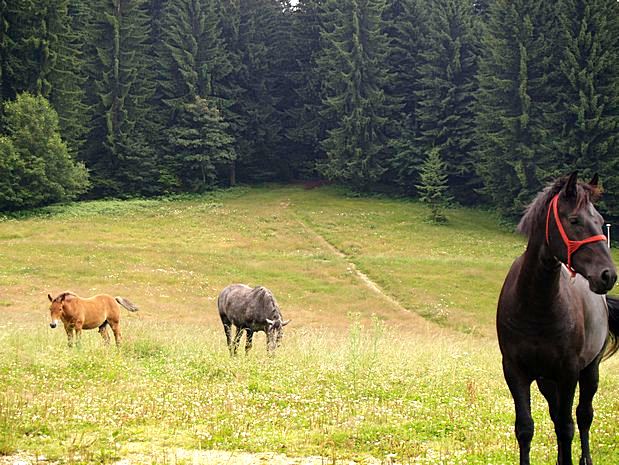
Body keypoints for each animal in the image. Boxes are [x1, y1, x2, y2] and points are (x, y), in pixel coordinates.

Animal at [498, 173, 619, 464]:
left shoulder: (568, 372)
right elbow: (525, 428)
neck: (536, 306)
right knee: (556, 416)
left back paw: (584, 458)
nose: (608, 275)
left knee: (582, 416)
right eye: (574, 220)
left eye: (600, 221)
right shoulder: (515, 371)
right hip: (546, 380)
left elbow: (567, 427)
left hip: (590, 370)